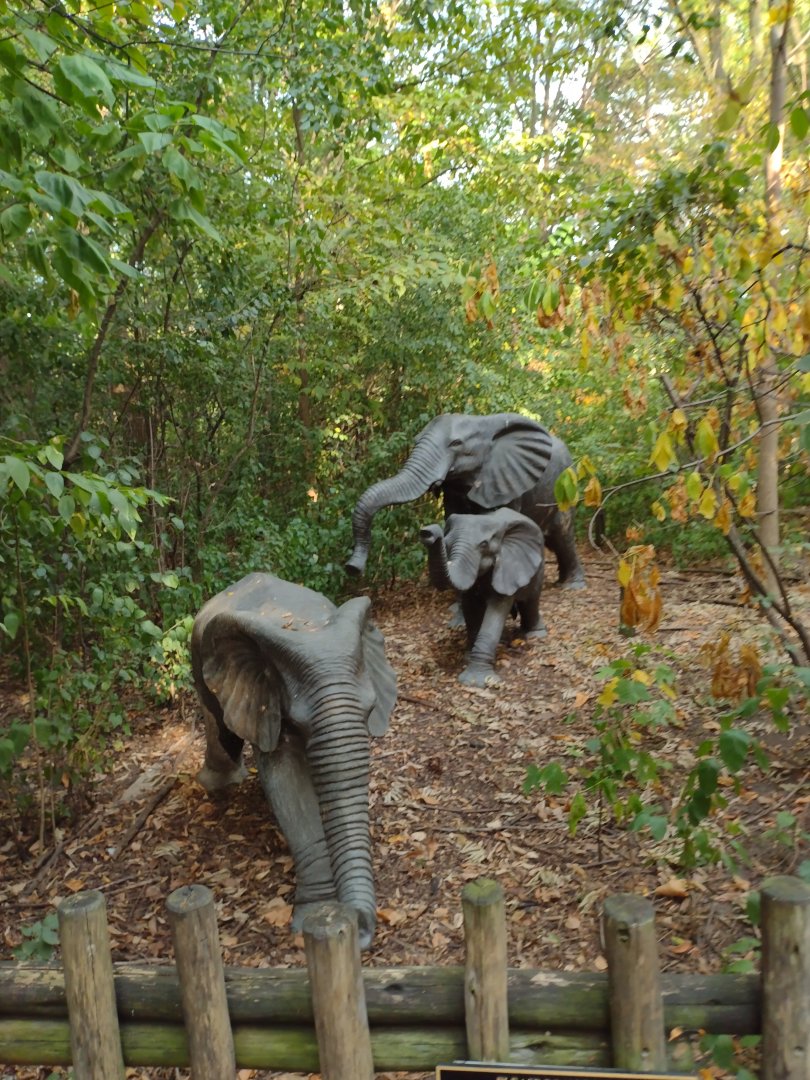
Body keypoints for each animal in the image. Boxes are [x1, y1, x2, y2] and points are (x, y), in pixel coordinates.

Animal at [191, 572, 397, 950]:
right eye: (300, 721)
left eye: (370, 710)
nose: (360, 929)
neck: (306, 626)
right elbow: (286, 781)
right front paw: (315, 914)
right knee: (219, 725)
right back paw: (218, 783)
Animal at [345, 412, 585, 590]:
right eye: (416, 441)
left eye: (456, 443)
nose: (352, 568)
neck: (482, 421)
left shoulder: (508, 482)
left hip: (567, 488)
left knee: (562, 533)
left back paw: (571, 586)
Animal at [420, 508, 547, 686]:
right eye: (447, 543)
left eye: (484, 545)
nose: (428, 532)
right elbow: (470, 607)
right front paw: (468, 657)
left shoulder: (506, 567)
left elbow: (496, 611)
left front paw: (475, 680)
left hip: (537, 566)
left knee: (530, 600)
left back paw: (535, 634)